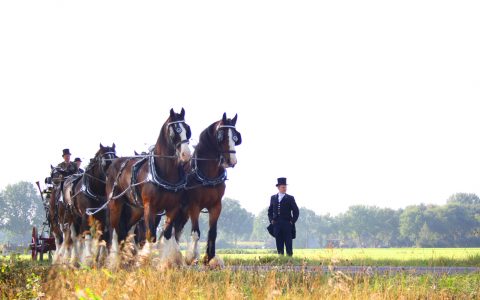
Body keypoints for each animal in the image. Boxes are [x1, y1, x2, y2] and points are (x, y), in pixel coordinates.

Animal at [106, 108, 192, 253]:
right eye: (176, 130)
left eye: (187, 129)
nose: (186, 154)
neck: (164, 173)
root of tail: (114, 163)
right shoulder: (150, 207)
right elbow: (150, 236)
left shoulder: (172, 207)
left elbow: (167, 235)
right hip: (115, 204)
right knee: (114, 231)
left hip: (135, 209)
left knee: (124, 231)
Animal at [176, 113, 242, 268]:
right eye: (221, 135)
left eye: (235, 136)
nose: (232, 161)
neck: (208, 175)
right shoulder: (194, 205)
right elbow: (196, 232)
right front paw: (191, 257)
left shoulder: (216, 206)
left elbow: (213, 232)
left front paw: (208, 257)